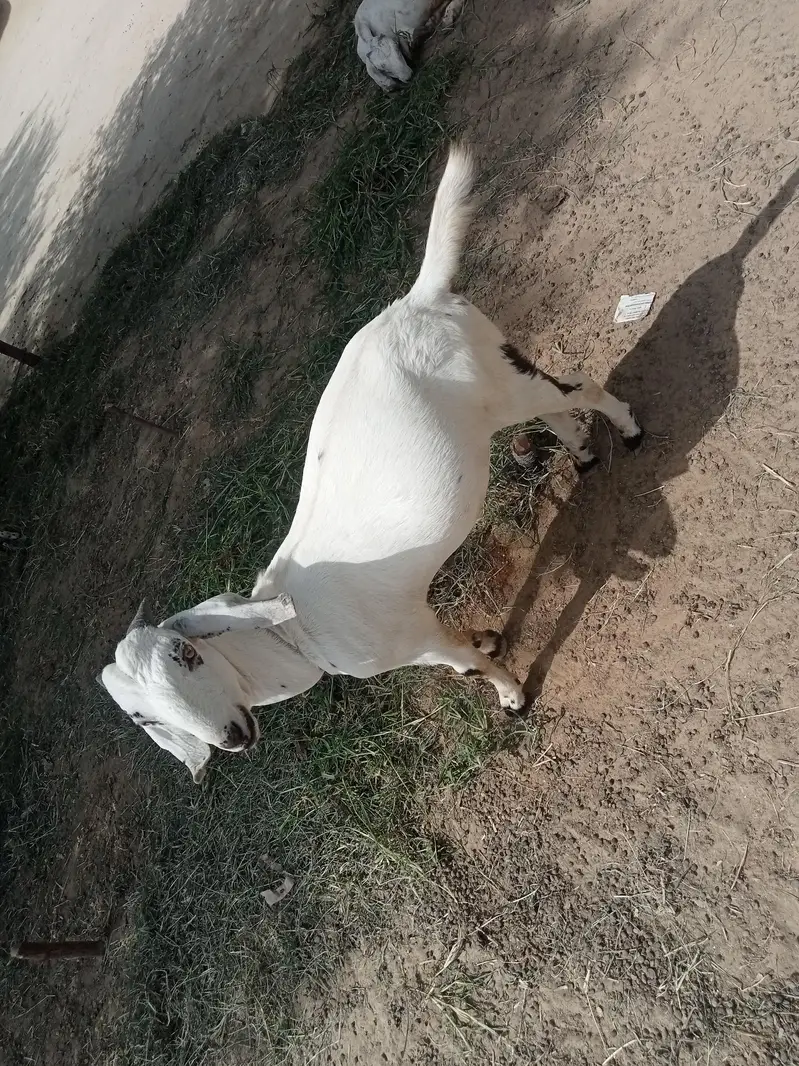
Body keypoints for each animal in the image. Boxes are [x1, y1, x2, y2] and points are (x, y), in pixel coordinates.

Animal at [98, 146, 643, 783]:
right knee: (553, 405)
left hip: (503, 380)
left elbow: (465, 666)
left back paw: (629, 433)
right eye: (142, 718)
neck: (296, 632)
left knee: (577, 384)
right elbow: (471, 650)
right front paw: (489, 644)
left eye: (186, 652)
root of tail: (418, 299)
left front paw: (513, 698)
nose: (231, 737)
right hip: (498, 386)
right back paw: (583, 455)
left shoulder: (412, 637)